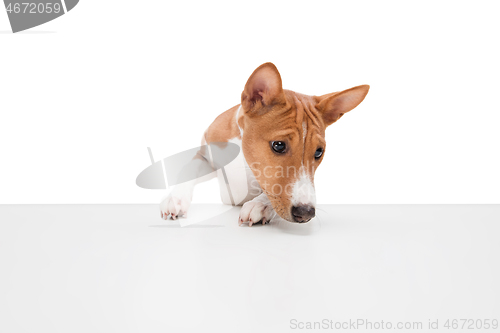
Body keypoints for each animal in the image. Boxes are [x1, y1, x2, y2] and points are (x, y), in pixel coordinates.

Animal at [158, 62, 370, 226]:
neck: (244, 159)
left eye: (319, 152)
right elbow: (187, 169)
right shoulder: (206, 157)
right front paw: (175, 199)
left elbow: (269, 189)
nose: (306, 213)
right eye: (278, 145)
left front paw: (259, 204)